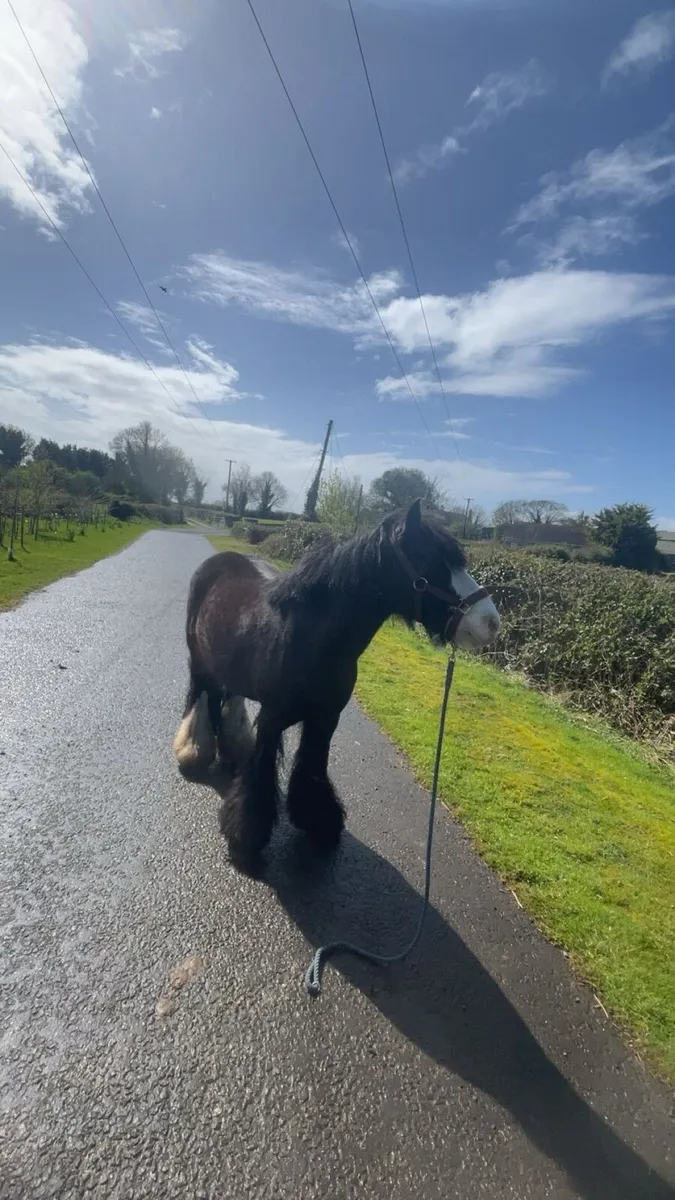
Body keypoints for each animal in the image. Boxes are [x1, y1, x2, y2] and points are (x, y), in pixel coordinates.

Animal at [173, 499, 500, 871]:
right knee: (205, 700)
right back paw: (195, 750)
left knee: (228, 700)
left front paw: (319, 823)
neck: (312, 637)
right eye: (431, 561)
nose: (490, 622)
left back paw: (230, 752)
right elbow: (259, 778)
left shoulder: (325, 720)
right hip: (200, 665)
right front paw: (246, 841)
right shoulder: (271, 721)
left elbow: (313, 770)